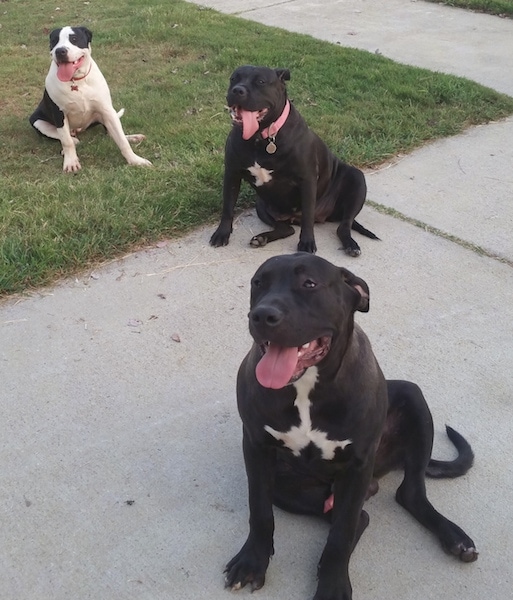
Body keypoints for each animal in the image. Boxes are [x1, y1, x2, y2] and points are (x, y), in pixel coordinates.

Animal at [29, 25, 152, 171]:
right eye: (54, 41)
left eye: (74, 39)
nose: (60, 51)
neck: (77, 80)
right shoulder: (59, 115)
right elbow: (66, 141)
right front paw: (71, 162)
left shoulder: (107, 111)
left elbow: (121, 140)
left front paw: (135, 160)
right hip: (37, 121)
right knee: (65, 137)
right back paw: (71, 143)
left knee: (111, 133)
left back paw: (132, 137)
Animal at [208, 65, 376, 255]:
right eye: (233, 79)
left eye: (261, 81)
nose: (237, 90)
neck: (261, 137)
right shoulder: (232, 173)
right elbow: (228, 207)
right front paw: (222, 233)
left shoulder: (307, 180)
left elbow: (308, 216)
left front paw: (307, 242)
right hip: (262, 205)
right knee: (286, 229)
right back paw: (262, 238)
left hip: (357, 179)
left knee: (343, 225)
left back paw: (351, 245)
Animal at [224, 253, 476, 600]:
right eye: (258, 283)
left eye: (309, 284)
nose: (262, 314)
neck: (306, 387)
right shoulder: (256, 447)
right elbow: (260, 510)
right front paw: (252, 561)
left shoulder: (358, 466)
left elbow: (341, 535)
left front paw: (332, 585)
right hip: (289, 488)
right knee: (361, 515)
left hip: (411, 397)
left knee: (406, 495)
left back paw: (455, 537)